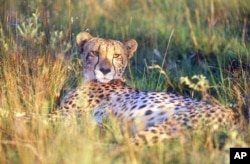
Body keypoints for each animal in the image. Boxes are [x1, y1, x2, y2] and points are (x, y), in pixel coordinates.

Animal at [60, 32, 238, 145]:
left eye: (116, 56)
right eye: (95, 53)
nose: (105, 70)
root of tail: (235, 117)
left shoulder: (61, 116)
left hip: (170, 124)